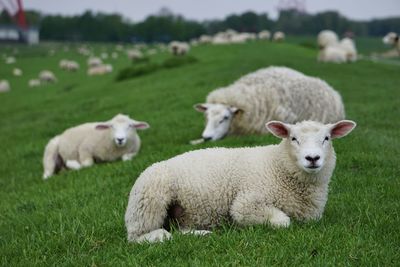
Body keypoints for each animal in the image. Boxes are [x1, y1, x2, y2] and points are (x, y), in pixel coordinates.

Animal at [124, 119, 356, 243]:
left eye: (327, 138)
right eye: (293, 138)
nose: (312, 158)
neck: (277, 167)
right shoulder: (245, 203)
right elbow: (282, 221)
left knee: (179, 229)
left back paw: (202, 233)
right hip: (149, 203)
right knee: (139, 237)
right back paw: (162, 236)